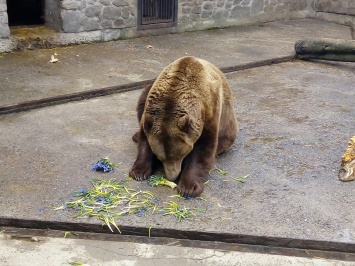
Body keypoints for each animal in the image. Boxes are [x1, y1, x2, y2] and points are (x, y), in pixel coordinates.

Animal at [129, 56, 238, 197]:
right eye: (161, 157)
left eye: (179, 155)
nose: (172, 176)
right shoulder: (150, 112)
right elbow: (145, 139)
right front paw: (139, 172)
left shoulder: (209, 112)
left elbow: (202, 149)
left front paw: (188, 187)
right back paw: (135, 136)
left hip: (227, 126)